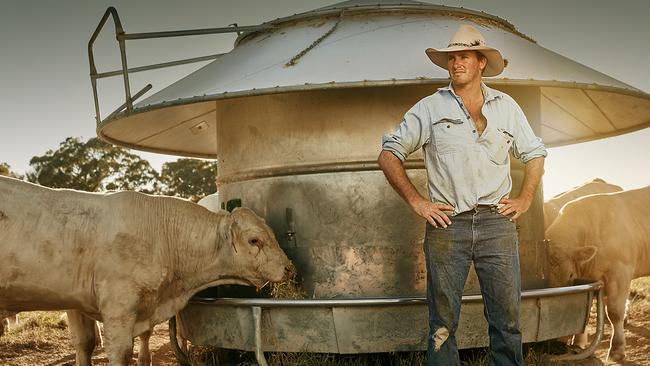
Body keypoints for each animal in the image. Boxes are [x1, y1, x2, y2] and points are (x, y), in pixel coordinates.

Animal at [0, 176, 292, 364]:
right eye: (254, 240)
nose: (289, 268)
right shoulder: (118, 309)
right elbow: (119, 352)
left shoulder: (77, 302)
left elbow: (85, 344)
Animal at [548, 186, 648, 360]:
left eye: (570, 275)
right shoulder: (589, 279)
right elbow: (584, 312)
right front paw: (577, 343)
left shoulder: (620, 273)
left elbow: (614, 312)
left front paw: (617, 349)